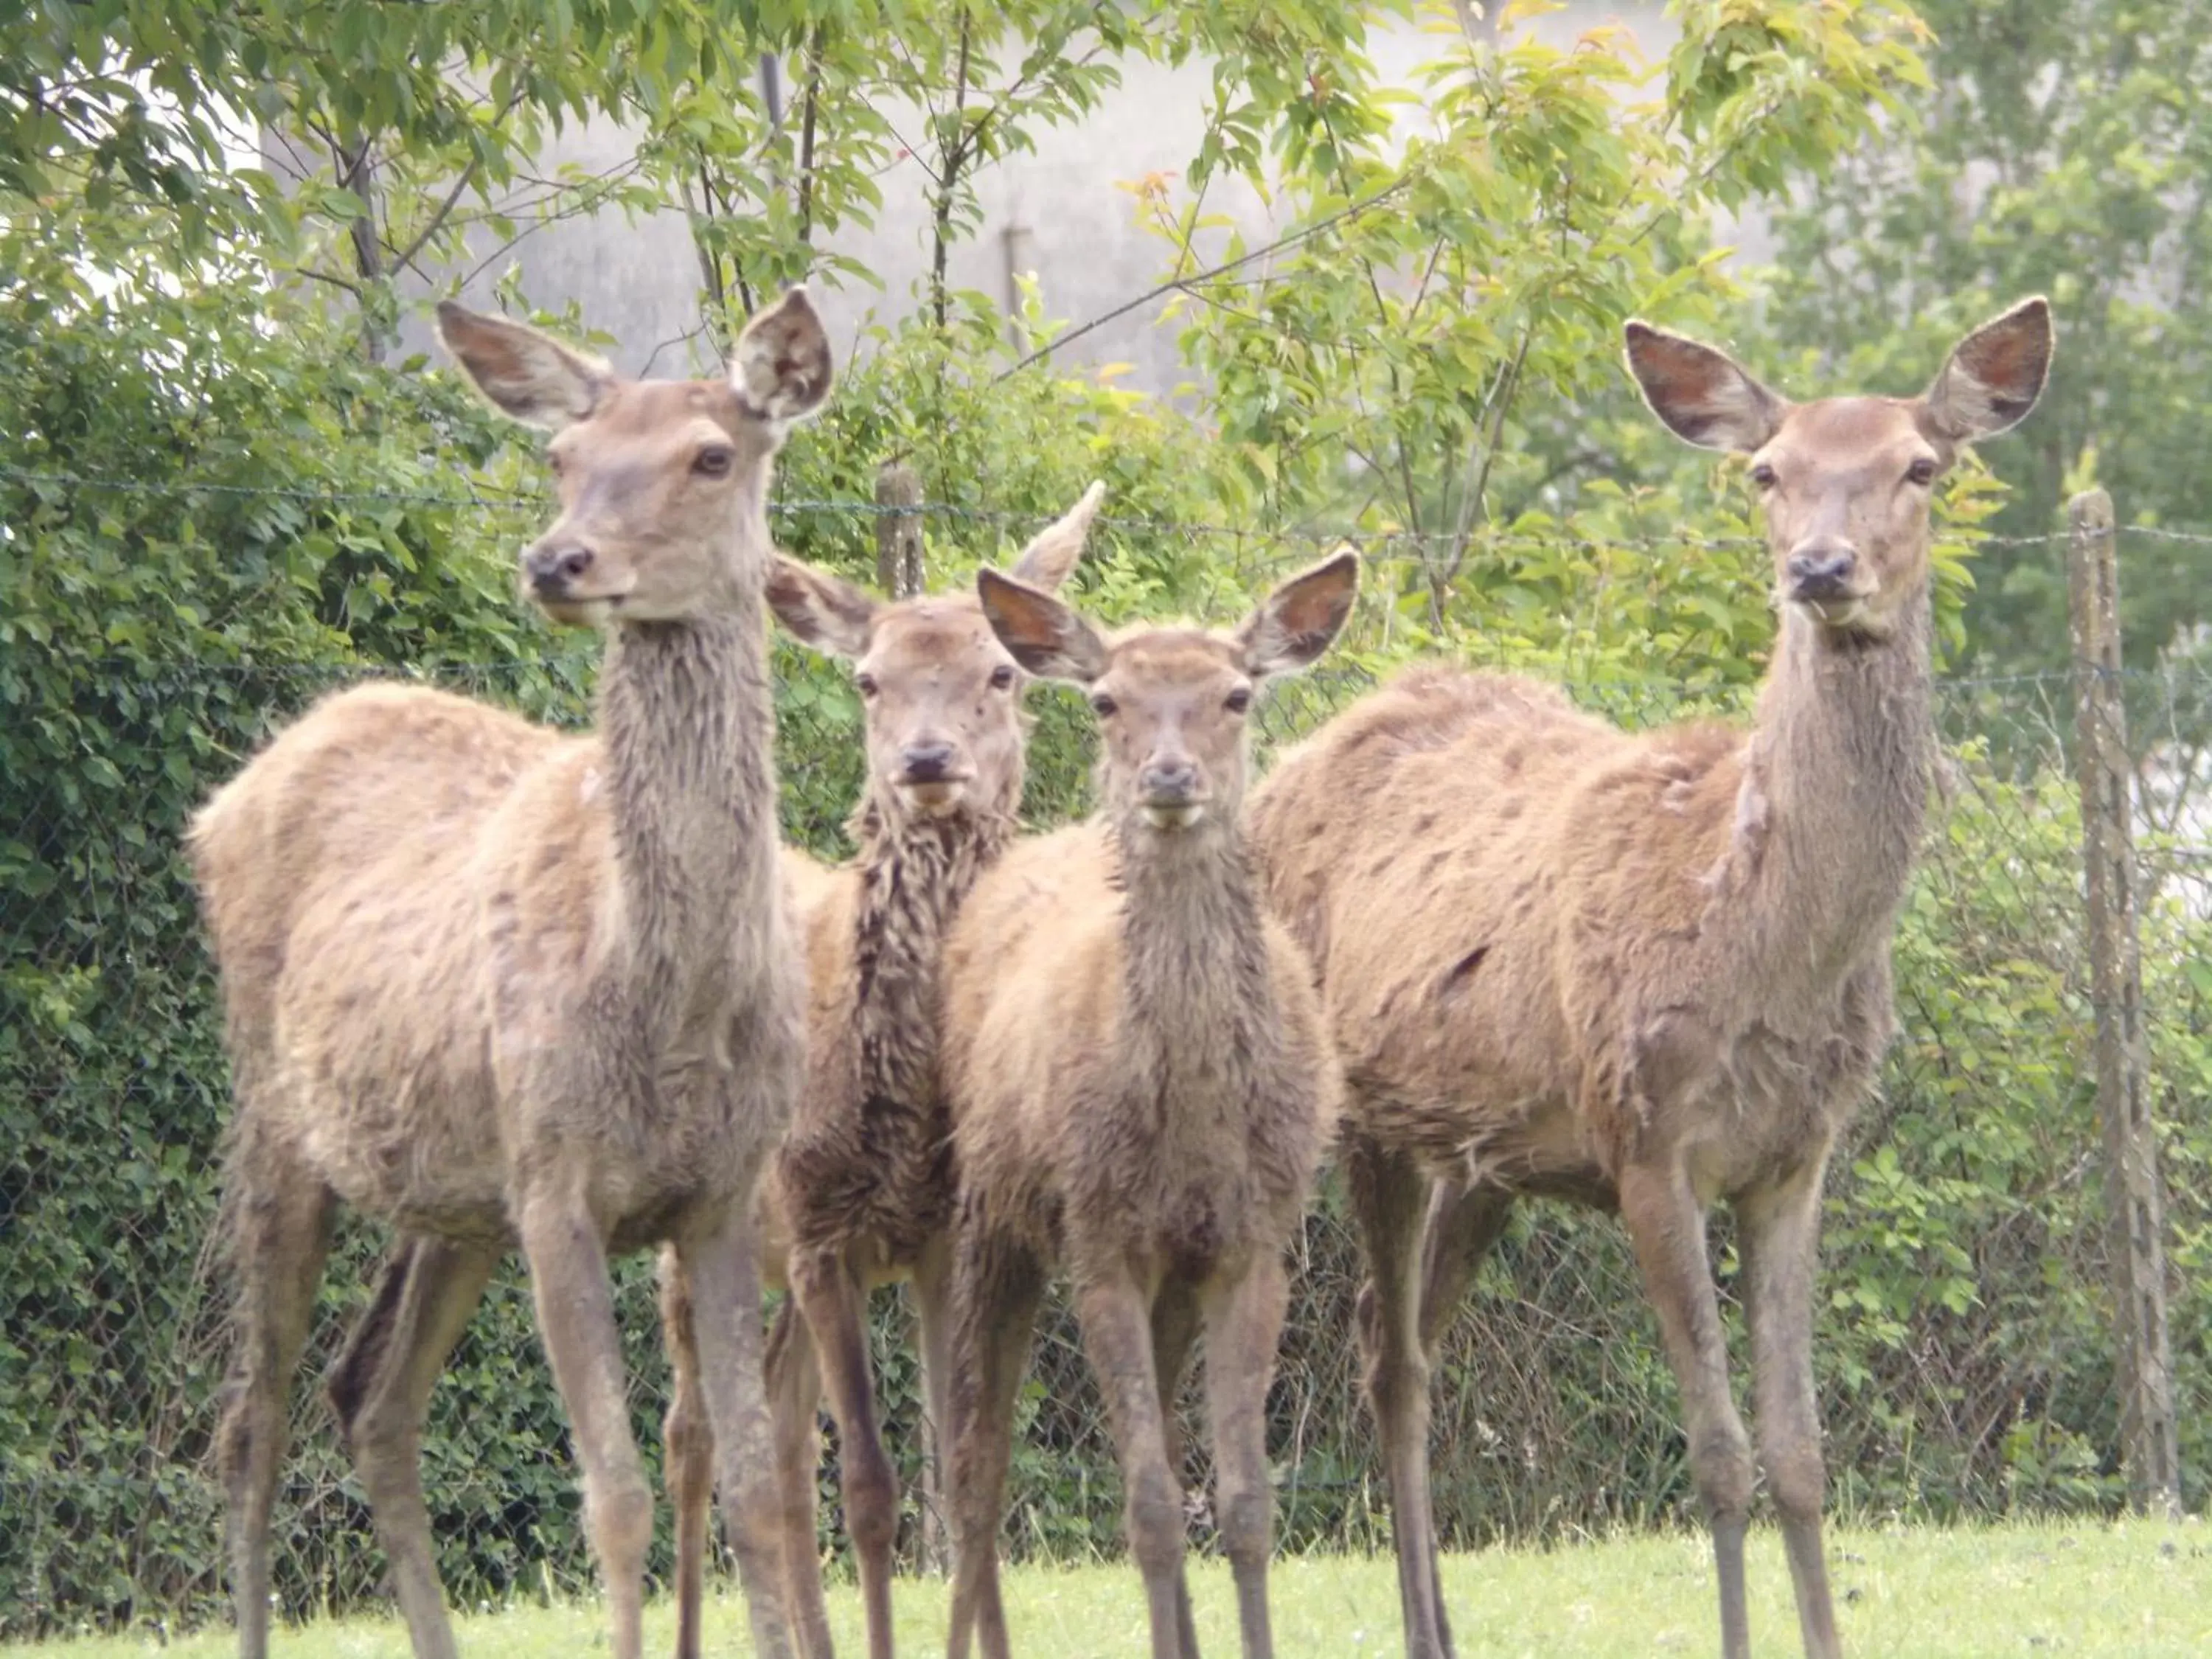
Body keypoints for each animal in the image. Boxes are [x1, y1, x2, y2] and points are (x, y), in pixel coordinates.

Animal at [184, 290, 832, 1659]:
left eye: (713, 452)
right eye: (562, 457)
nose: (558, 561)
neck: (674, 1002)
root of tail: (221, 800)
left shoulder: (718, 1190)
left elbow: (755, 1485)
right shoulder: (558, 1184)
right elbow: (617, 1496)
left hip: (454, 1192)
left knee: (369, 1397)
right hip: (279, 1121)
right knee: (251, 1420)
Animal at [650, 480, 1106, 1659]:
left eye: (1000, 671)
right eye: (868, 679)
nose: (928, 759)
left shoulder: (936, 1237)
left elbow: (958, 1464)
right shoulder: (822, 1227)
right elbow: (869, 1483)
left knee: (776, 1428)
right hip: (689, 1226)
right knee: (694, 1435)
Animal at [938, 555, 1354, 1659]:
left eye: (1238, 694)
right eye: (1107, 700)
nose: (1168, 778)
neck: (1196, 1120)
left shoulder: (1254, 1239)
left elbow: (1244, 1499)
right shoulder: (1100, 1237)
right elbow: (1152, 1505)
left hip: (1170, 1266)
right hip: (987, 1211)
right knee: (975, 1462)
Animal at [1248, 292, 2053, 1655]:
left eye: (1921, 466)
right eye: (1768, 470)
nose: (1820, 569)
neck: (1764, 948)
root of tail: (1287, 762)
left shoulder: (1796, 1156)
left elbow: (1801, 1451)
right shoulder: (1646, 1138)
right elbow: (1718, 1452)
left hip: (1488, 1155)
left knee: (1395, 1334)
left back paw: (1438, 1622)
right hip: (1350, 1111)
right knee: (1378, 1350)